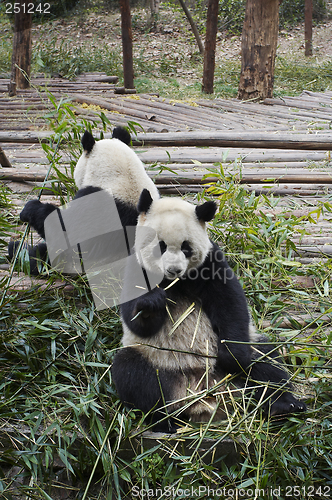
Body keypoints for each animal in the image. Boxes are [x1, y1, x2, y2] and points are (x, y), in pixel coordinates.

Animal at [111, 189, 306, 432]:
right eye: (161, 246)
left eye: (186, 247)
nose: (174, 269)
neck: (175, 282)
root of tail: (203, 394)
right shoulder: (134, 266)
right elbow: (135, 317)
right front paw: (150, 304)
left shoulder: (210, 262)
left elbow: (230, 303)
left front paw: (232, 358)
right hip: (155, 359)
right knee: (134, 377)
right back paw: (163, 422)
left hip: (245, 350)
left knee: (266, 362)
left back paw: (283, 405)